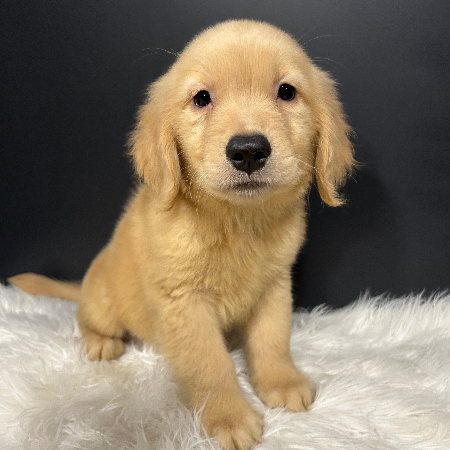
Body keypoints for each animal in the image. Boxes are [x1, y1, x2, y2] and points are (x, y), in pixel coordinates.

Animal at [9, 20, 354, 450]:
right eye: (201, 98)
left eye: (287, 92)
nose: (248, 151)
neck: (236, 222)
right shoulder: (184, 303)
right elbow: (210, 364)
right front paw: (228, 417)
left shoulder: (275, 286)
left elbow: (273, 340)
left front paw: (281, 382)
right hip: (104, 301)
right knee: (84, 317)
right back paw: (100, 341)